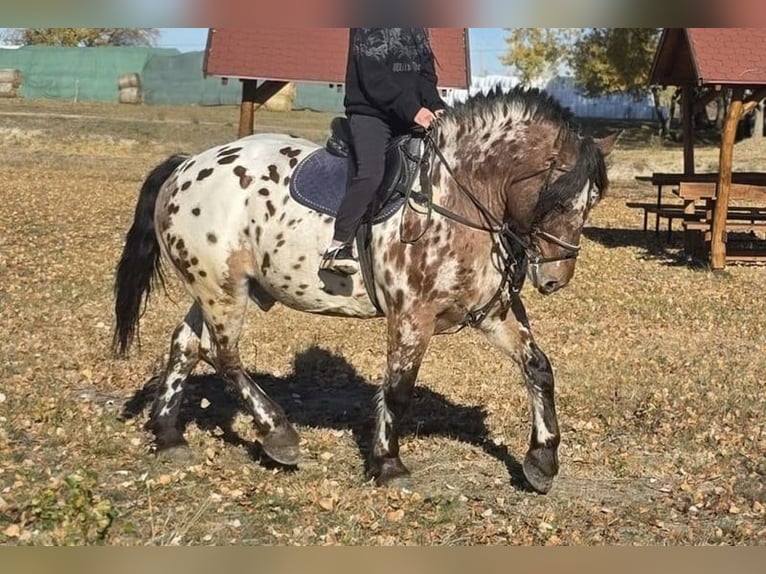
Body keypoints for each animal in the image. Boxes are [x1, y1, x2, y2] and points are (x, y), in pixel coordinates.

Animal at [114, 86, 617, 494]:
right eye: (557, 200)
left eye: (591, 202)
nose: (554, 279)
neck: (457, 196)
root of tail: (186, 165)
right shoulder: (412, 316)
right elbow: (397, 390)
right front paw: (389, 464)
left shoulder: (491, 313)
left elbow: (538, 368)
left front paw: (542, 460)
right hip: (222, 288)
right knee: (224, 355)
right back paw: (278, 433)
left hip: (216, 286)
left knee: (186, 345)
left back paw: (169, 435)